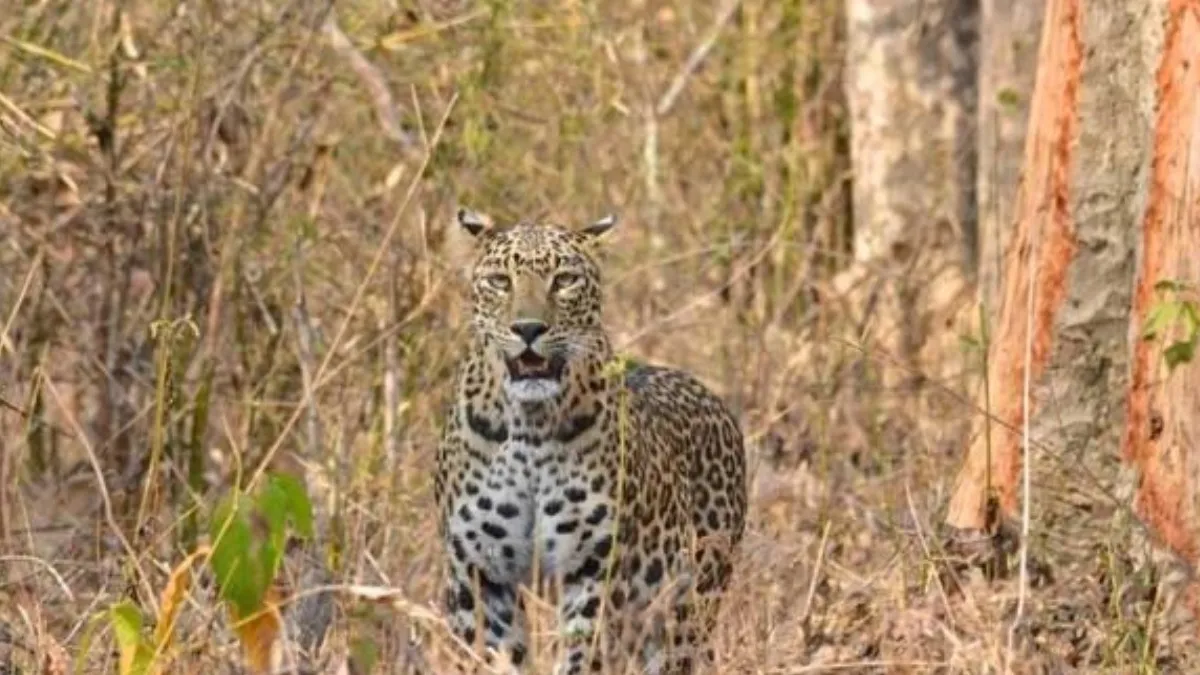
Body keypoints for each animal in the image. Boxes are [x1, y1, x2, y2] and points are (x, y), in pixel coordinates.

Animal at [433, 208, 747, 675]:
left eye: (564, 280)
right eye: (500, 281)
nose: (528, 328)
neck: (531, 427)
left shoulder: (595, 569)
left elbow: (585, 654)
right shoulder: (479, 574)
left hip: (687, 605)